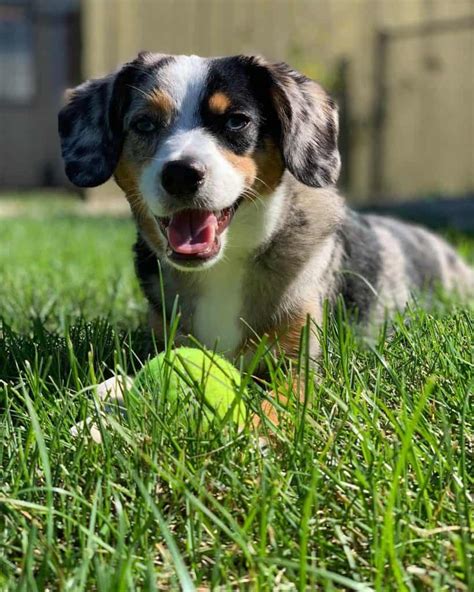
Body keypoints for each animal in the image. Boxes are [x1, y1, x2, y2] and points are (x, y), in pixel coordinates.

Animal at [59, 53, 474, 376]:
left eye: (236, 121)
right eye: (144, 123)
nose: (180, 174)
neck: (225, 265)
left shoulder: (297, 365)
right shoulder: (168, 341)